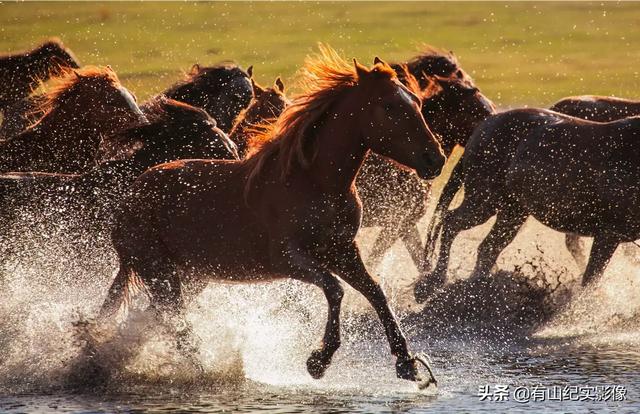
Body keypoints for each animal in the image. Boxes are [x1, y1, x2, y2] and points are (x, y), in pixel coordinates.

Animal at [97, 47, 444, 386]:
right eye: (389, 107)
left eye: (416, 102)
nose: (435, 159)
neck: (314, 182)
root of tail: (131, 196)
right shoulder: (288, 258)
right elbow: (335, 289)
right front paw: (319, 360)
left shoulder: (342, 250)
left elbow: (375, 292)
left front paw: (407, 363)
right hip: (159, 271)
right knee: (173, 322)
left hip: (190, 276)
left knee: (151, 319)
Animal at [416, 108, 640, 302]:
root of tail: (481, 129)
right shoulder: (608, 235)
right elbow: (590, 280)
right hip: (484, 202)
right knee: (451, 223)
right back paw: (435, 282)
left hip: (513, 212)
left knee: (487, 248)